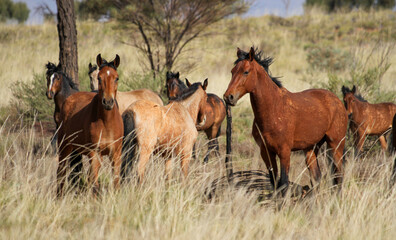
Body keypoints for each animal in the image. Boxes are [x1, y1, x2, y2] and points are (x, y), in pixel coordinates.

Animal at [56, 54, 123, 195]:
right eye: (99, 78)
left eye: (117, 78)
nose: (108, 102)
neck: (107, 123)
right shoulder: (95, 154)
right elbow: (95, 185)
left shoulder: (116, 155)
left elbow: (115, 184)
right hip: (64, 147)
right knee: (61, 173)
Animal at [224, 47, 348, 193]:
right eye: (232, 71)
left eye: (246, 72)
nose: (228, 97)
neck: (274, 109)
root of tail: (337, 101)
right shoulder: (266, 152)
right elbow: (274, 182)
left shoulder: (284, 152)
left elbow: (283, 183)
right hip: (311, 149)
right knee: (317, 178)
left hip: (336, 145)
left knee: (339, 176)